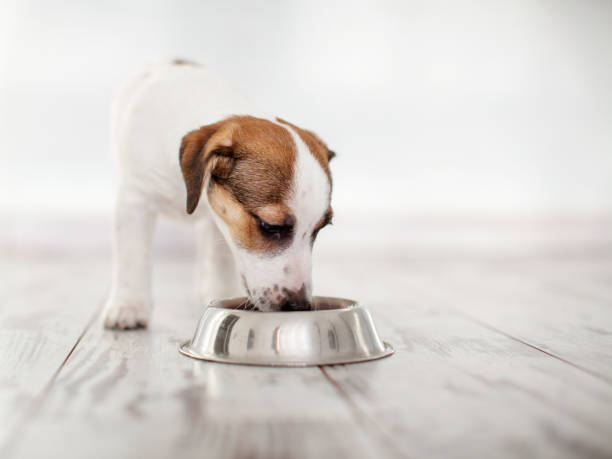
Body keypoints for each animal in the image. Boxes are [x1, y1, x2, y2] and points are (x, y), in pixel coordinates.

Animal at [104, 60, 334, 330]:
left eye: (320, 228)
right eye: (269, 226)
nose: (298, 306)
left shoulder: (222, 219)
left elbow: (221, 259)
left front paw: (221, 294)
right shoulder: (135, 199)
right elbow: (132, 257)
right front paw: (128, 304)